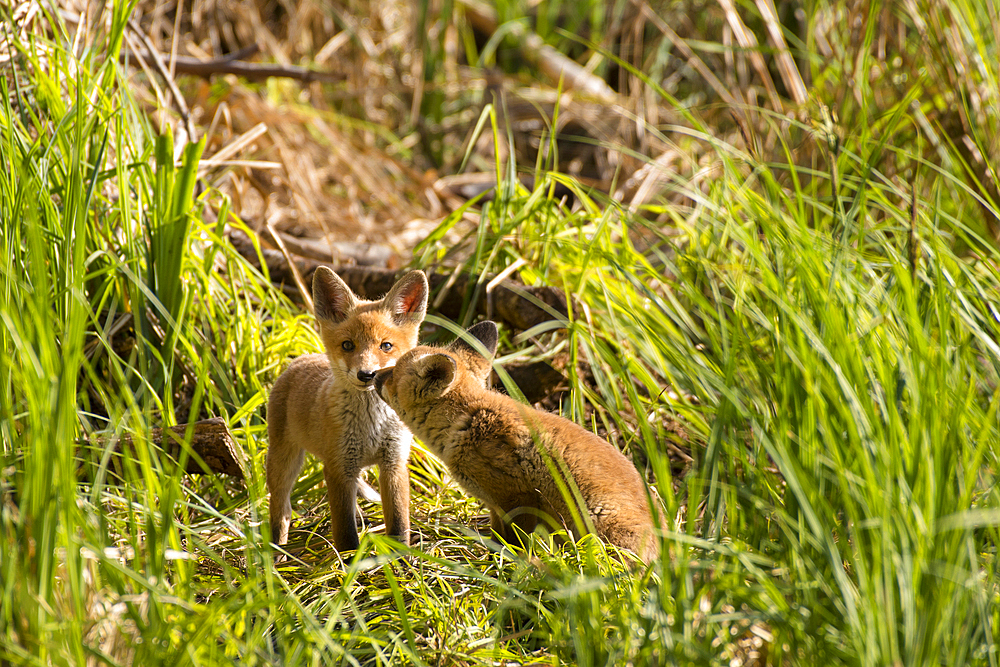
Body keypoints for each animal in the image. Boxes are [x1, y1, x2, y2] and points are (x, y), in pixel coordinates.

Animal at [266, 266, 426, 552]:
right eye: (348, 345)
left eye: (386, 346)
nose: (366, 374)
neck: (372, 424)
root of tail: (300, 360)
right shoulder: (339, 469)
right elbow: (346, 534)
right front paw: (349, 561)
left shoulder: (393, 462)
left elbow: (399, 525)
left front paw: (401, 558)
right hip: (284, 462)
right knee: (281, 510)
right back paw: (277, 551)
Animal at [372, 322, 660, 564]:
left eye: (392, 373)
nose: (371, 374)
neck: (468, 422)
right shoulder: (495, 505)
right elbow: (496, 537)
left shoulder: (519, 498)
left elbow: (514, 544)